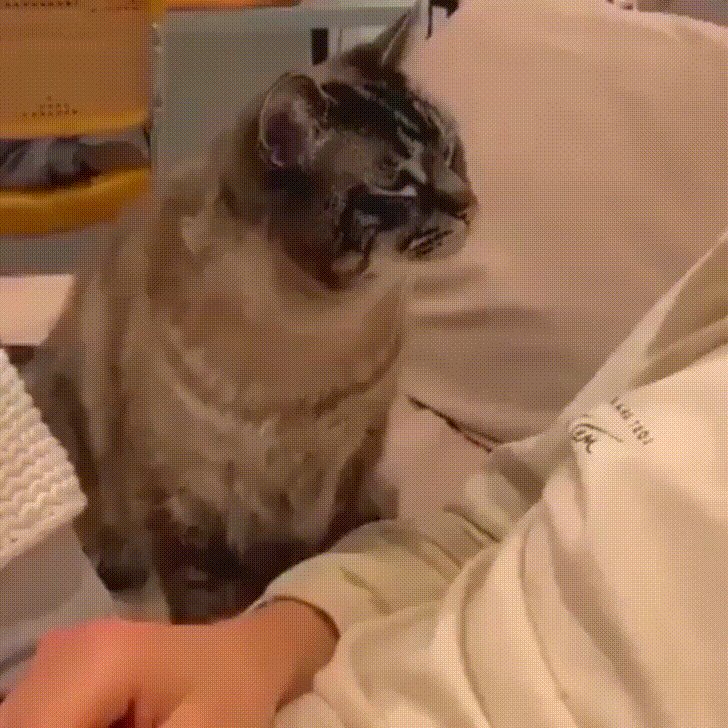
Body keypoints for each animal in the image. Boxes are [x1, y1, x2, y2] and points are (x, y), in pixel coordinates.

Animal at [22, 6, 478, 623]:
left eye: (450, 150)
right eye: (398, 184)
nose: (469, 204)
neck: (316, 317)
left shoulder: (352, 461)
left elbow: (321, 554)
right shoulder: (182, 495)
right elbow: (204, 602)